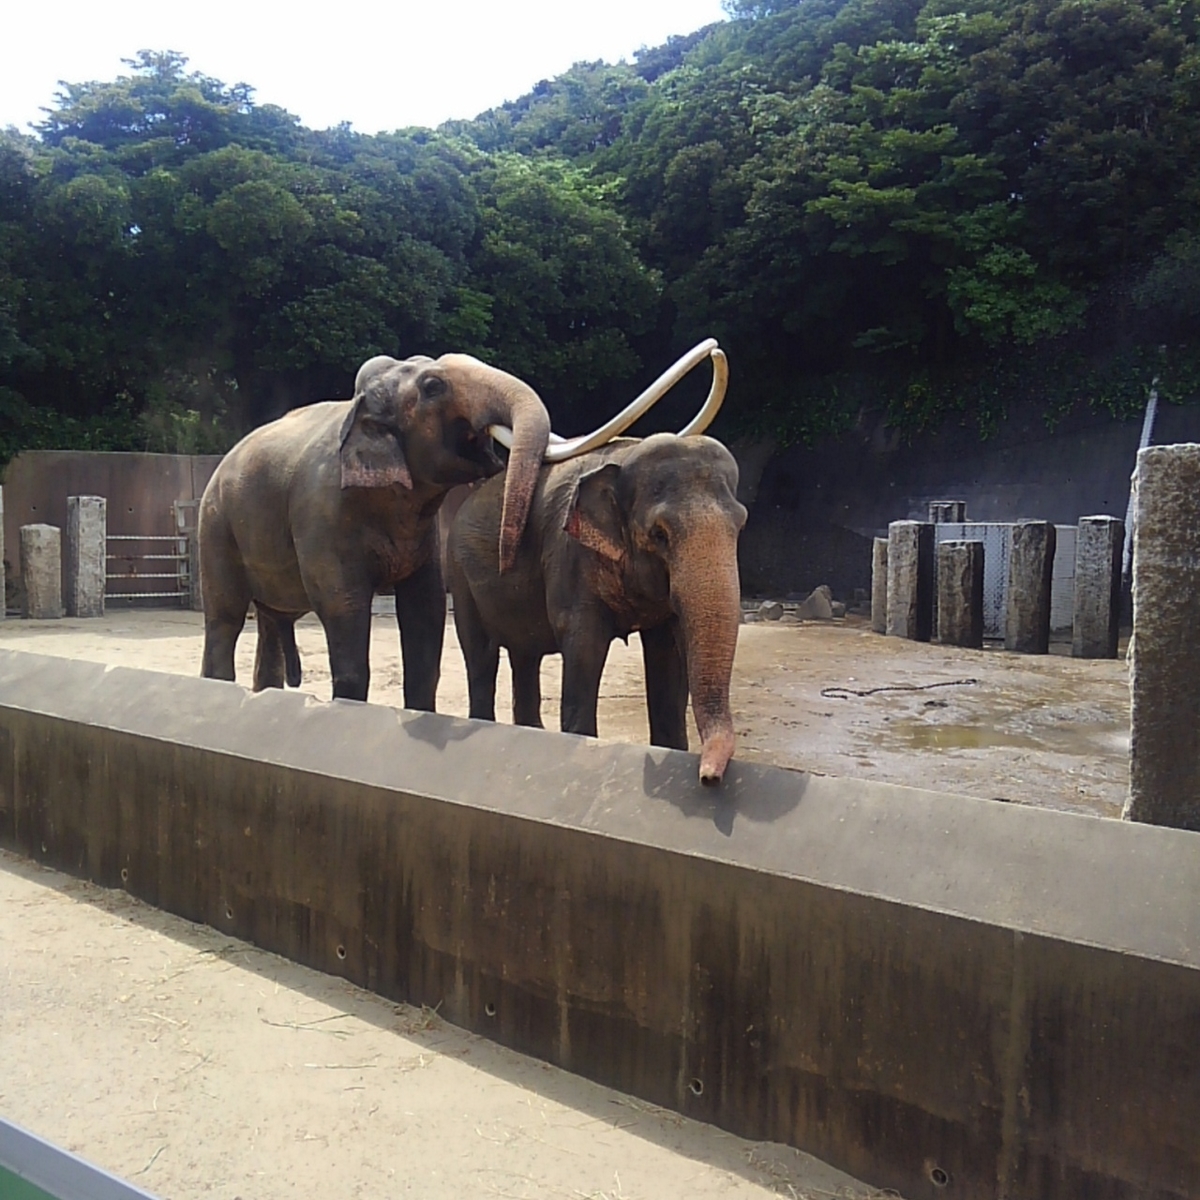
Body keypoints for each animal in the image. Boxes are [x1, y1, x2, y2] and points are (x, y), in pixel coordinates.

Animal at [198, 350, 552, 705]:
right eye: (433, 386)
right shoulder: (322, 512)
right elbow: (342, 603)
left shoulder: (425, 533)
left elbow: (426, 605)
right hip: (216, 526)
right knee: (225, 617)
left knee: (269, 625)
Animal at [448, 436, 744, 782]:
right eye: (659, 534)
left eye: (741, 525)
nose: (709, 778)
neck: (626, 456)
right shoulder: (569, 556)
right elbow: (584, 644)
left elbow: (666, 656)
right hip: (460, 574)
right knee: (480, 655)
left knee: (525, 656)